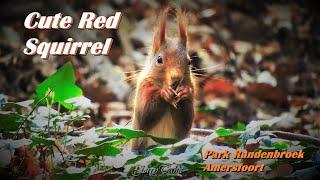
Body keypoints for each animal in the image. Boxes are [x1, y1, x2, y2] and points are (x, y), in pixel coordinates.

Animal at [131, 8, 195, 150]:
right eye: (159, 59)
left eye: (189, 62)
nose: (176, 78)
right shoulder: (143, 86)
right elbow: (144, 116)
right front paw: (164, 93)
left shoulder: (192, 88)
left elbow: (186, 121)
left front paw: (184, 93)